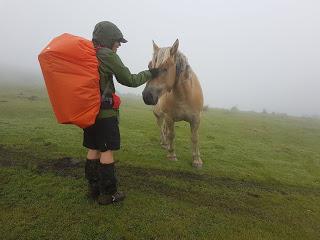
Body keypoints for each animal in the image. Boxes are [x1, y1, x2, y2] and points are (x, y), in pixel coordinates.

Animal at [142, 39, 204, 167]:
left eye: (165, 68)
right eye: (150, 66)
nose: (147, 96)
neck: (184, 97)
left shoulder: (196, 119)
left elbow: (195, 138)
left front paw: (197, 160)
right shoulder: (169, 118)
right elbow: (171, 135)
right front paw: (172, 155)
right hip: (160, 117)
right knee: (162, 129)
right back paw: (164, 144)